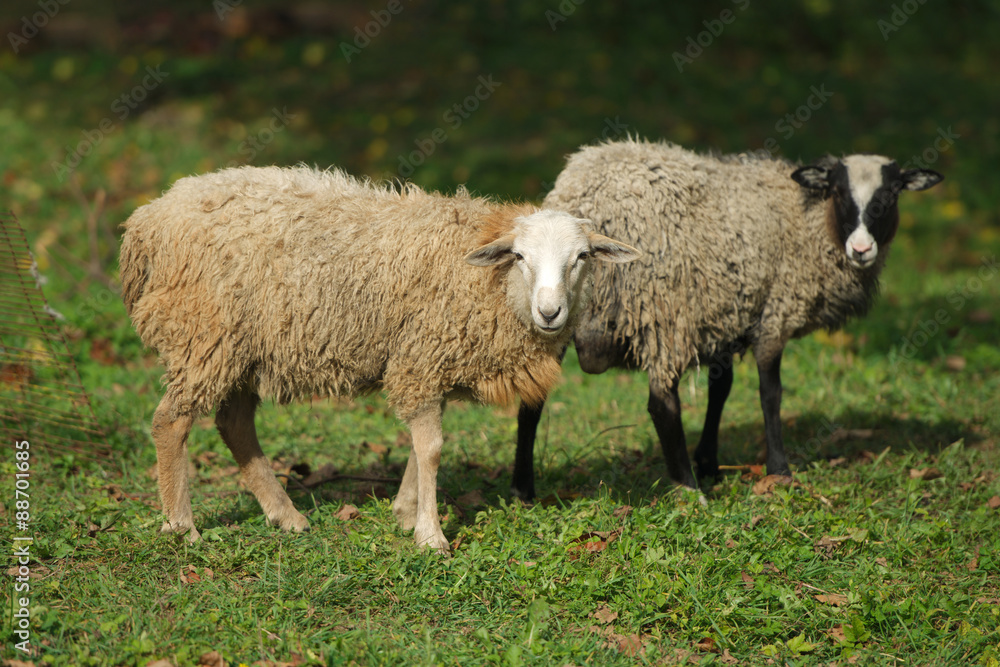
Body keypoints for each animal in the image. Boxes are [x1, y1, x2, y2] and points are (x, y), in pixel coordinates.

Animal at [119, 165, 639, 553]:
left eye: (582, 257)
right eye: (520, 257)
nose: (550, 312)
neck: (487, 284)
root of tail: (147, 222)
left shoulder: (423, 358)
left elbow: (419, 445)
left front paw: (406, 512)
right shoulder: (421, 359)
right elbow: (431, 448)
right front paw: (430, 534)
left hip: (243, 348)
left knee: (235, 425)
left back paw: (285, 515)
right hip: (203, 334)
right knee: (171, 423)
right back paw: (182, 526)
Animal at [511, 139, 943, 499]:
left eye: (892, 195)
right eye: (838, 192)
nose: (862, 249)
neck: (810, 224)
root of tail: (584, 194)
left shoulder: (726, 314)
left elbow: (722, 389)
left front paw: (710, 461)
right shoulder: (775, 312)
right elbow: (770, 394)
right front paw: (779, 470)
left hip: (558, 310)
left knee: (532, 399)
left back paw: (523, 489)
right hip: (664, 309)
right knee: (662, 403)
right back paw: (687, 488)